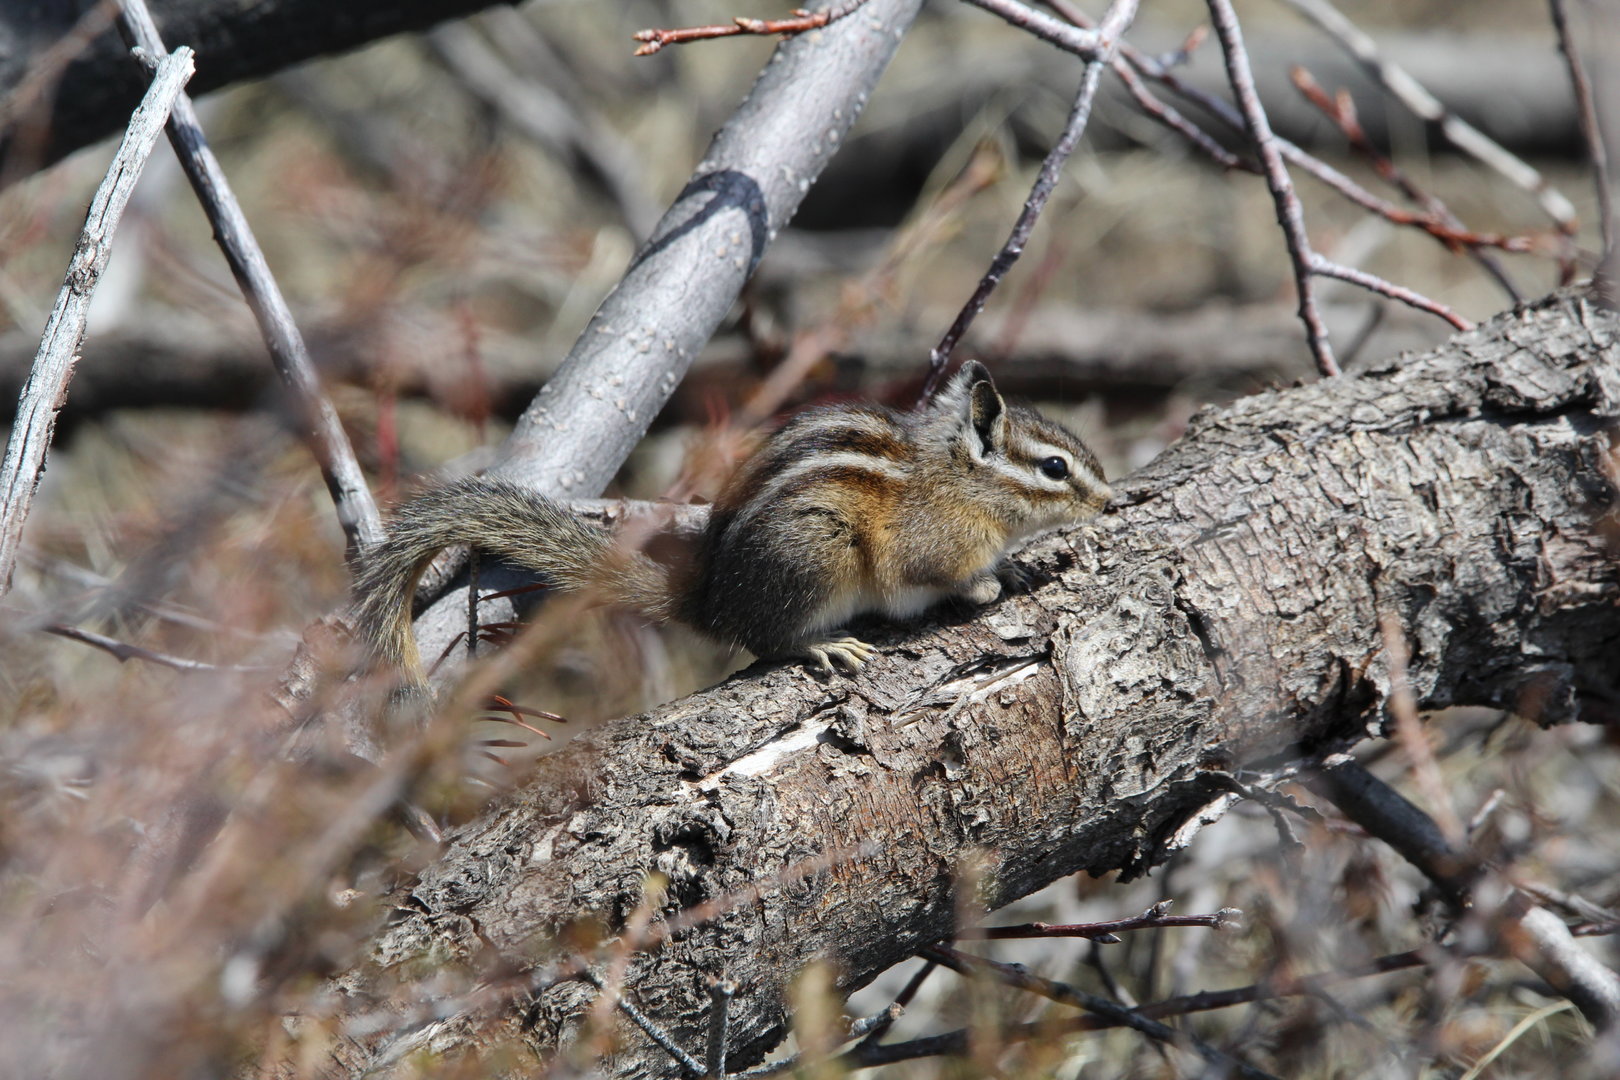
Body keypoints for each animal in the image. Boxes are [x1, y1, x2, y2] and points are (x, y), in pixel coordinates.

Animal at [350, 361, 1111, 686]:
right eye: (1054, 468)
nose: (1108, 501)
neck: (964, 481)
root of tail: (712, 603)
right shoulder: (936, 543)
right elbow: (943, 574)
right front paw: (986, 585)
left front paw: (1017, 565)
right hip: (820, 556)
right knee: (767, 640)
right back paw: (820, 647)